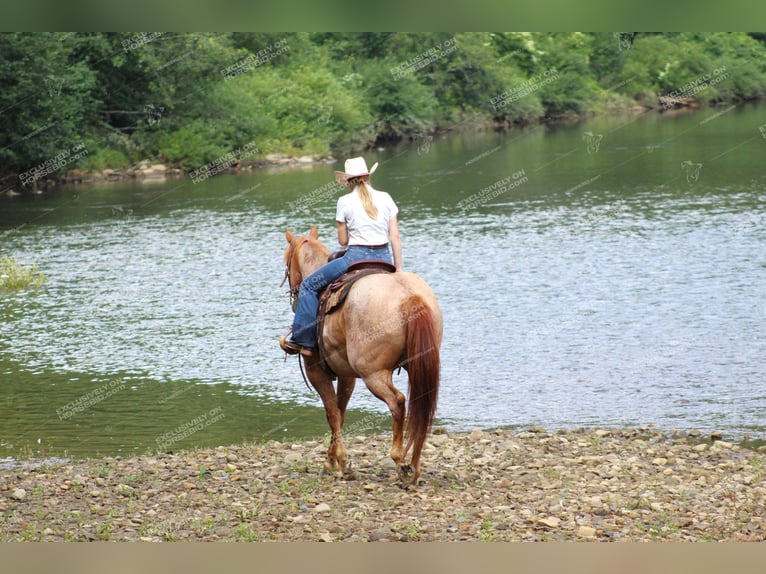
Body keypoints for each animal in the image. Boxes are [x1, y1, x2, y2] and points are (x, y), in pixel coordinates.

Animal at [284, 227, 444, 488]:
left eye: (286, 260)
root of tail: (409, 297)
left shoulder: (315, 369)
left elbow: (332, 413)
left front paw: (338, 462)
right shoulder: (347, 375)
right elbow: (340, 412)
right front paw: (333, 461)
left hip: (373, 374)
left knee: (398, 402)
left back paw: (400, 460)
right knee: (421, 409)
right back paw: (415, 465)